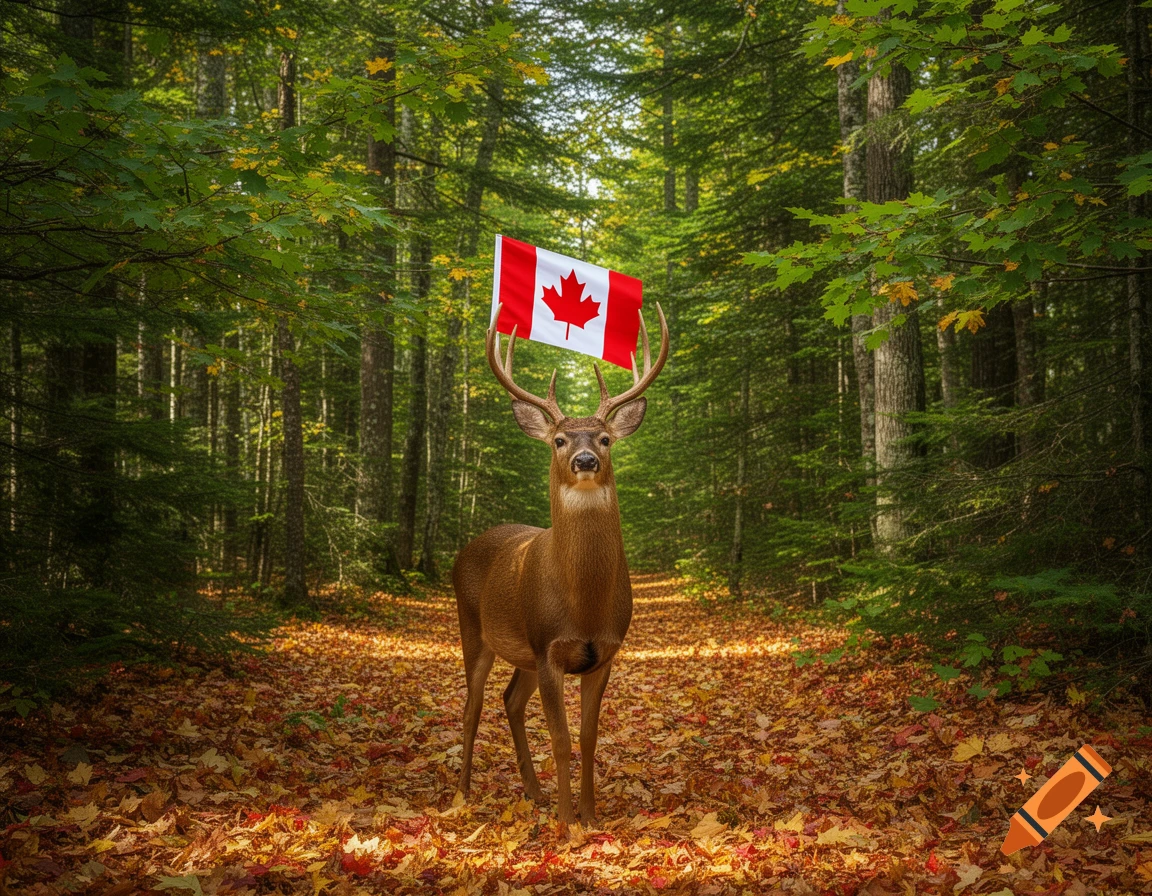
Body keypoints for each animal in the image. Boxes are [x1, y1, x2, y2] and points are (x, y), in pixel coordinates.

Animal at [451, 302, 669, 825]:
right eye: (559, 440)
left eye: (606, 438)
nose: (585, 459)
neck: (583, 603)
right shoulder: (547, 645)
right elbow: (562, 738)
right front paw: (568, 824)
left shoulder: (604, 652)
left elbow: (588, 737)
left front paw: (589, 815)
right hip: (473, 628)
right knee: (472, 706)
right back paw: (462, 794)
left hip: (522, 654)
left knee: (510, 701)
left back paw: (534, 792)